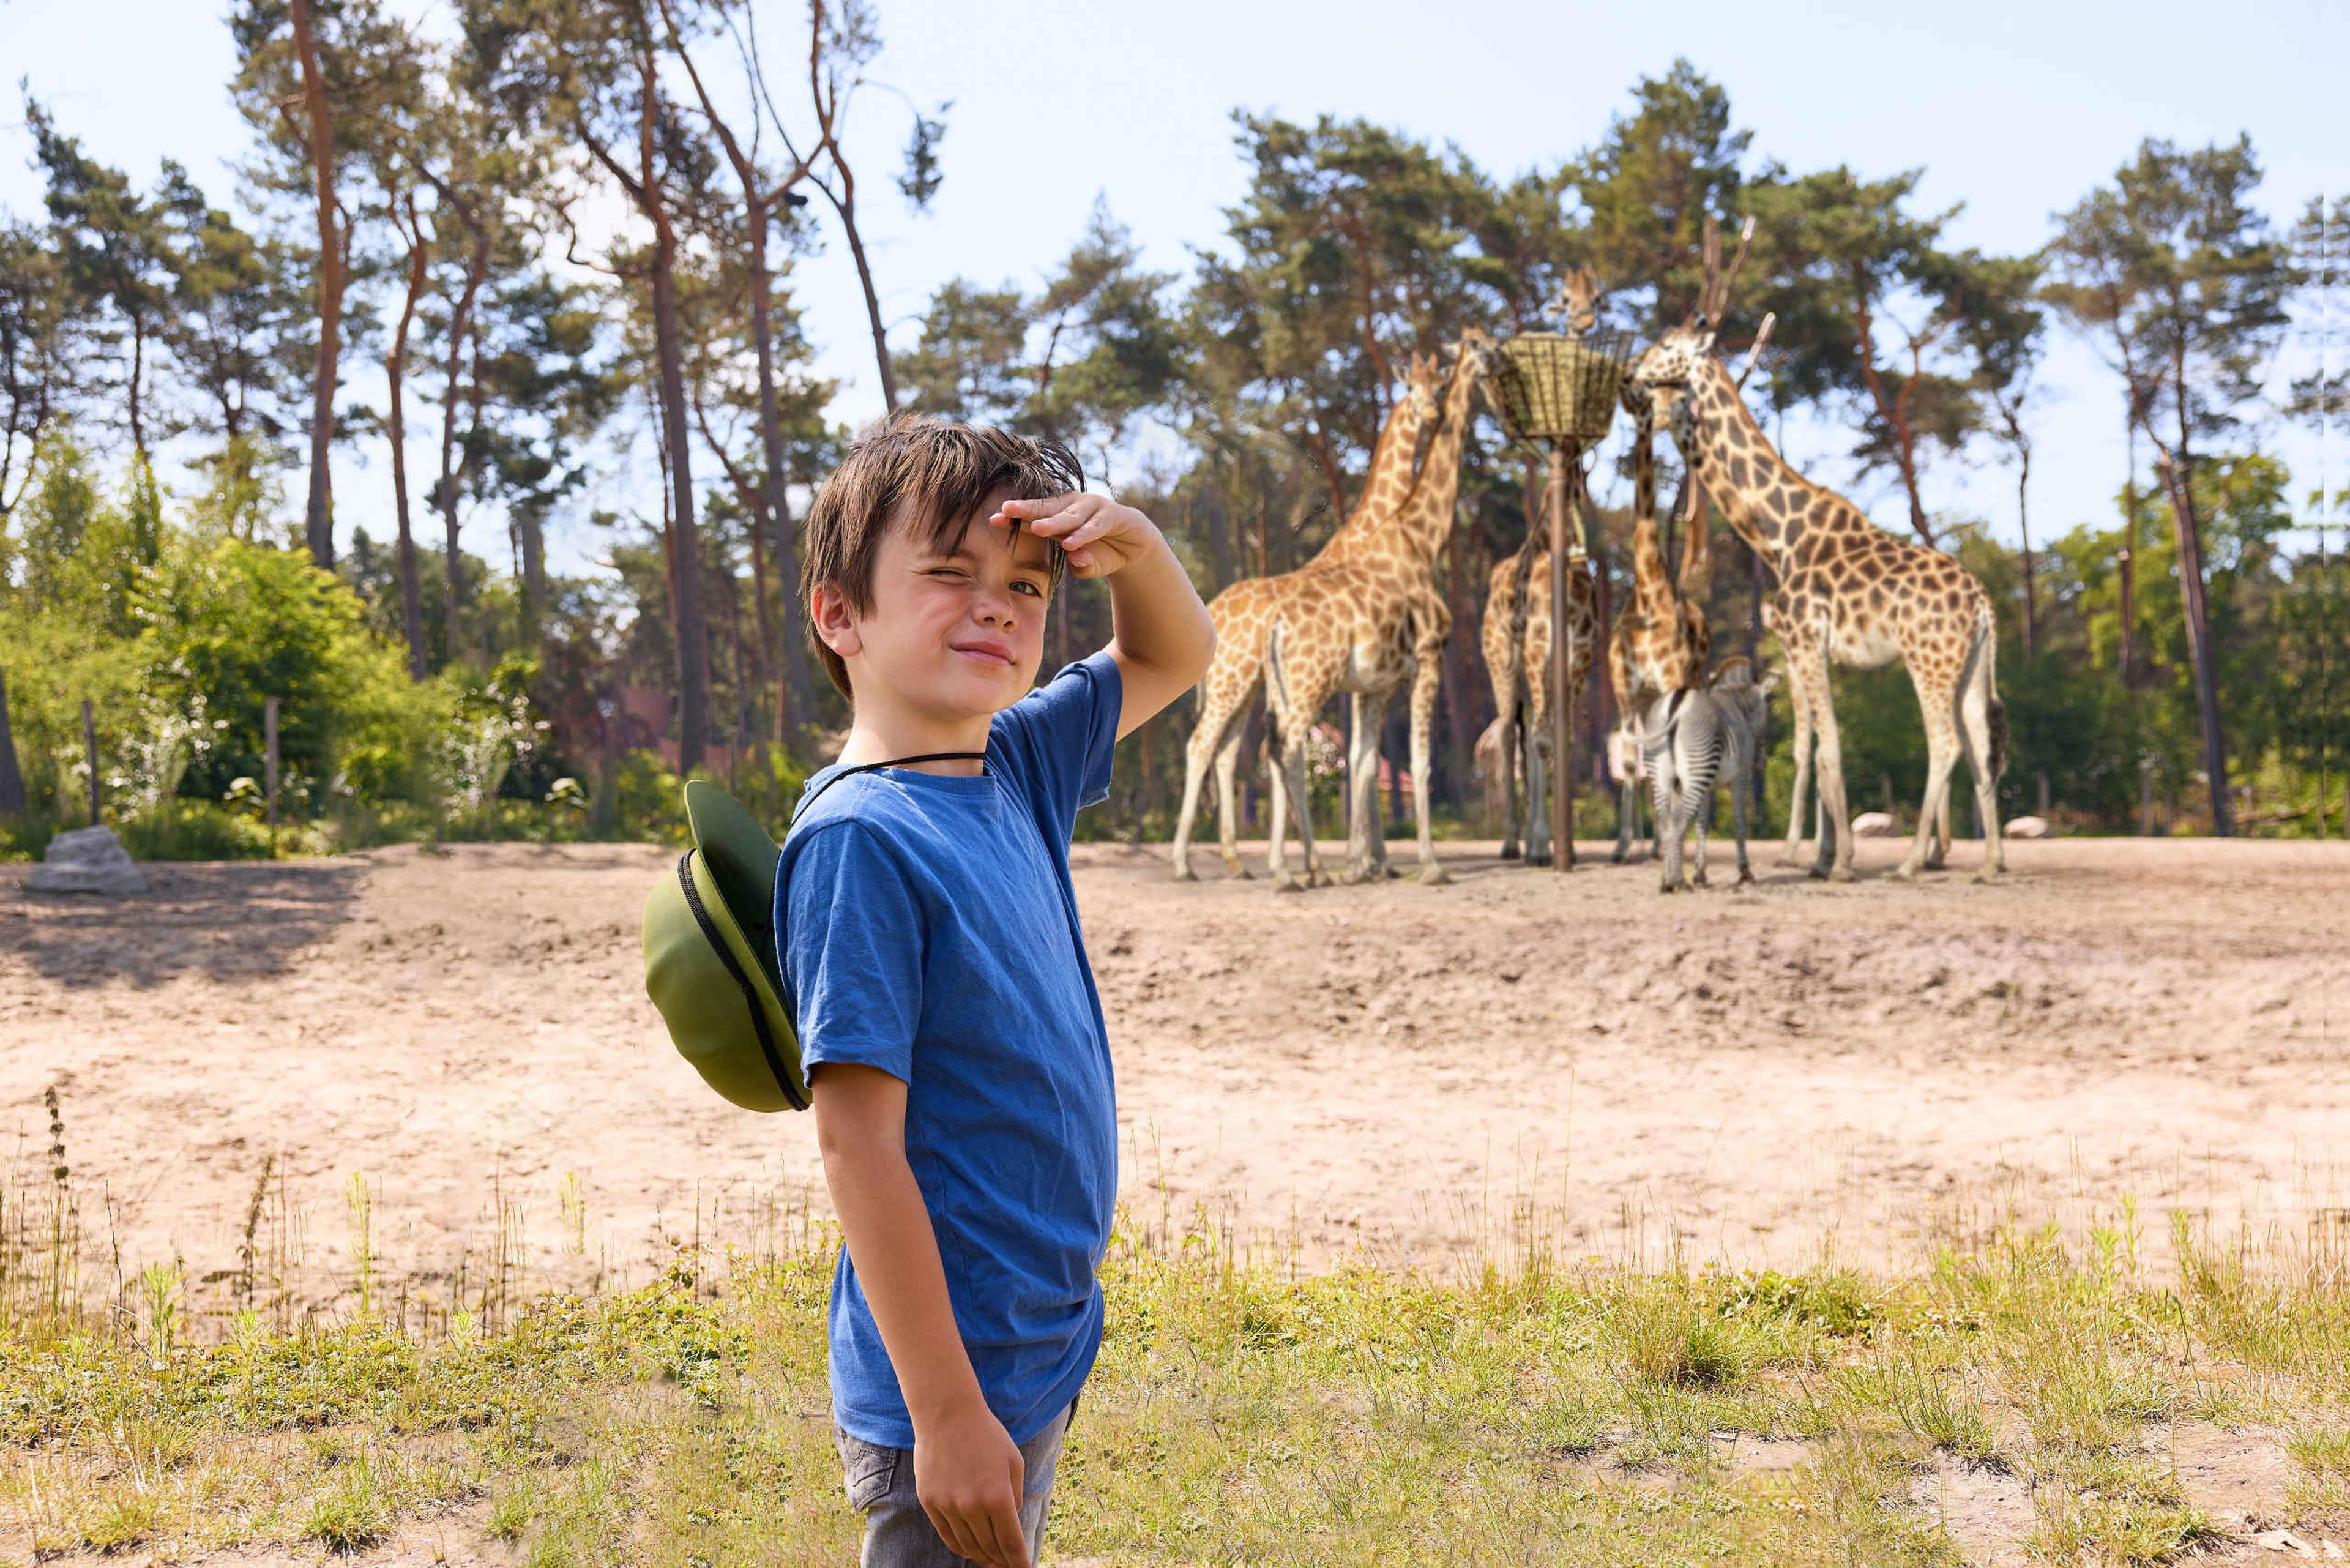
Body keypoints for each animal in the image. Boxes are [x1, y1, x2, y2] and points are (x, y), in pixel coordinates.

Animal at [1641, 660, 1779, 893]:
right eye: (1769, 707)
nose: (1761, 765)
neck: (1738, 707)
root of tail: (1677, 703)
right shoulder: (1740, 779)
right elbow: (1739, 823)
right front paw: (1745, 873)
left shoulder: (1706, 786)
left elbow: (1701, 825)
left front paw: (1700, 874)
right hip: (1697, 768)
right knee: (1677, 821)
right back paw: (1677, 881)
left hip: (1666, 775)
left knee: (1665, 822)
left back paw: (1666, 882)